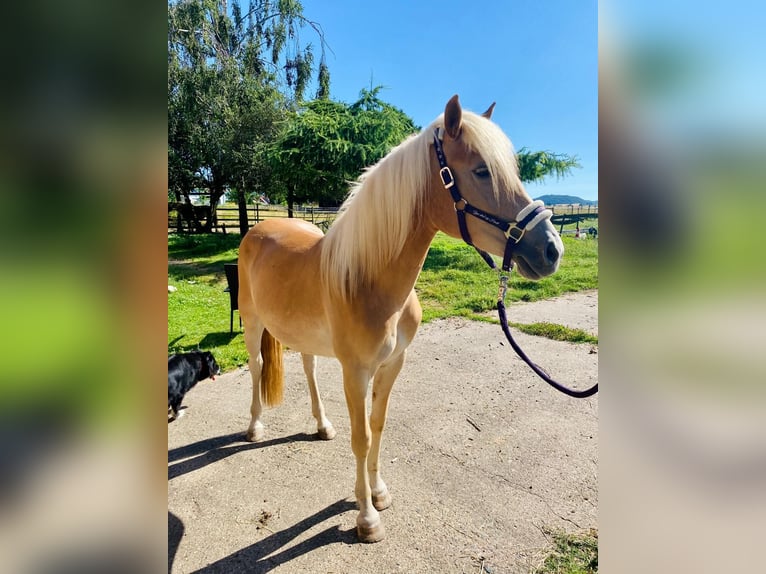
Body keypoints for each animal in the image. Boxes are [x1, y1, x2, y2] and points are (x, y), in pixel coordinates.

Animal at [237, 95, 564, 543]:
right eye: (481, 170)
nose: (552, 250)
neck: (368, 279)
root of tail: (260, 228)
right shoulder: (356, 371)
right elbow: (361, 437)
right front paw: (366, 518)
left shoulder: (392, 364)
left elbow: (378, 425)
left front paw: (378, 493)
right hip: (252, 322)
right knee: (255, 367)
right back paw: (254, 427)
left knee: (308, 368)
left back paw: (322, 425)